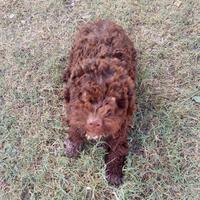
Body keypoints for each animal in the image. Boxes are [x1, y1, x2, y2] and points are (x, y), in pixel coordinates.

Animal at [63, 19, 137, 185]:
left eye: (114, 100)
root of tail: (104, 20)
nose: (94, 122)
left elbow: (117, 148)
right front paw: (73, 146)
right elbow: (75, 125)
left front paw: (114, 173)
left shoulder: (122, 124)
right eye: (83, 96)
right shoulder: (74, 110)